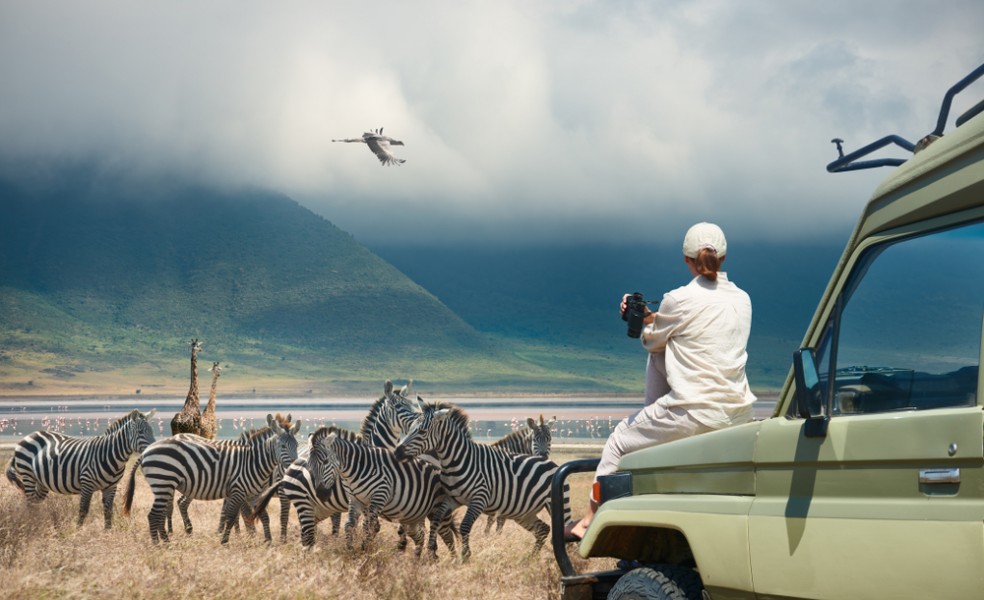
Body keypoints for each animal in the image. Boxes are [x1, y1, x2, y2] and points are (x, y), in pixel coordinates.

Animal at [5, 408, 158, 528]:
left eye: (151, 431)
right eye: (140, 431)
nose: (153, 447)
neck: (111, 455)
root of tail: (29, 435)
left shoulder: (111, 487)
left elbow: (108, 511)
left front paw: (107, 533)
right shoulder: (87, 484)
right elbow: (83, 510)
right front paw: (77, 532)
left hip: (41, 482)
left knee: (34, 502)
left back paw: (37, 523)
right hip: (28, 475)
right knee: (30, 503)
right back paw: (32, 524)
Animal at [125, 412, 300, 544]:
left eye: (297, 445)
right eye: (283, 446)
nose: (294, 469)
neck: (253, 461)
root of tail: (146, 451)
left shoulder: (254, 495)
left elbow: (263, 516)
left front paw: (268, 542)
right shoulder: (238, 491)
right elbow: (232, 517)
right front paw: (226, 541)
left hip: (166, 486)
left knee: (162, 512)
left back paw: (167, 541)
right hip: (163, 483)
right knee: (154, 515)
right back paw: (159, 545)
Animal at [312, 426, 458, 556]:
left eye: (325, 461)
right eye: (310, 465)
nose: (321, 494)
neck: (353, 471)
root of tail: (440, 471)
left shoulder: (379, 495)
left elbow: (369, 526)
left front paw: (364, 551)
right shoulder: (355, 500)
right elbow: (349, 525)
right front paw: (349, 550)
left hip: (438, 511)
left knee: (447, 536)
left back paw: (453, 561)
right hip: (413, 516)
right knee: (420, 535)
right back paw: (418, 561)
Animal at [396, 400, 572, 560]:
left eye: (422, 431)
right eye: (409, 428)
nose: (398, 452)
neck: (457, 460)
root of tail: (553, 464)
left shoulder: (479, 499)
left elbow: (466, 526)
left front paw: (466, 555)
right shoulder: (452, 499)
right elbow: (437, 520)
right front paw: (432, 549)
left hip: (557, 504)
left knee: (564, 528)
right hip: (524, 512)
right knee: (543, 529)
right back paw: (530, 558)